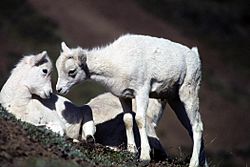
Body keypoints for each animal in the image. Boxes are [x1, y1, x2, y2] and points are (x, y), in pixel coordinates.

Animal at [55, 34, 208, 167]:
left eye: (72, 71)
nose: (58, 89)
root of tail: (194, 55)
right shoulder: (124, 96)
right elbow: (127, 120)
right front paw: (131, 151)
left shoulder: (142, 92)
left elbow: (140, 120)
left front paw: (144, 157)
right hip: (175, 100)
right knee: (191, 128)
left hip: (188, 94)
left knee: (197, 126)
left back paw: (193, 163)